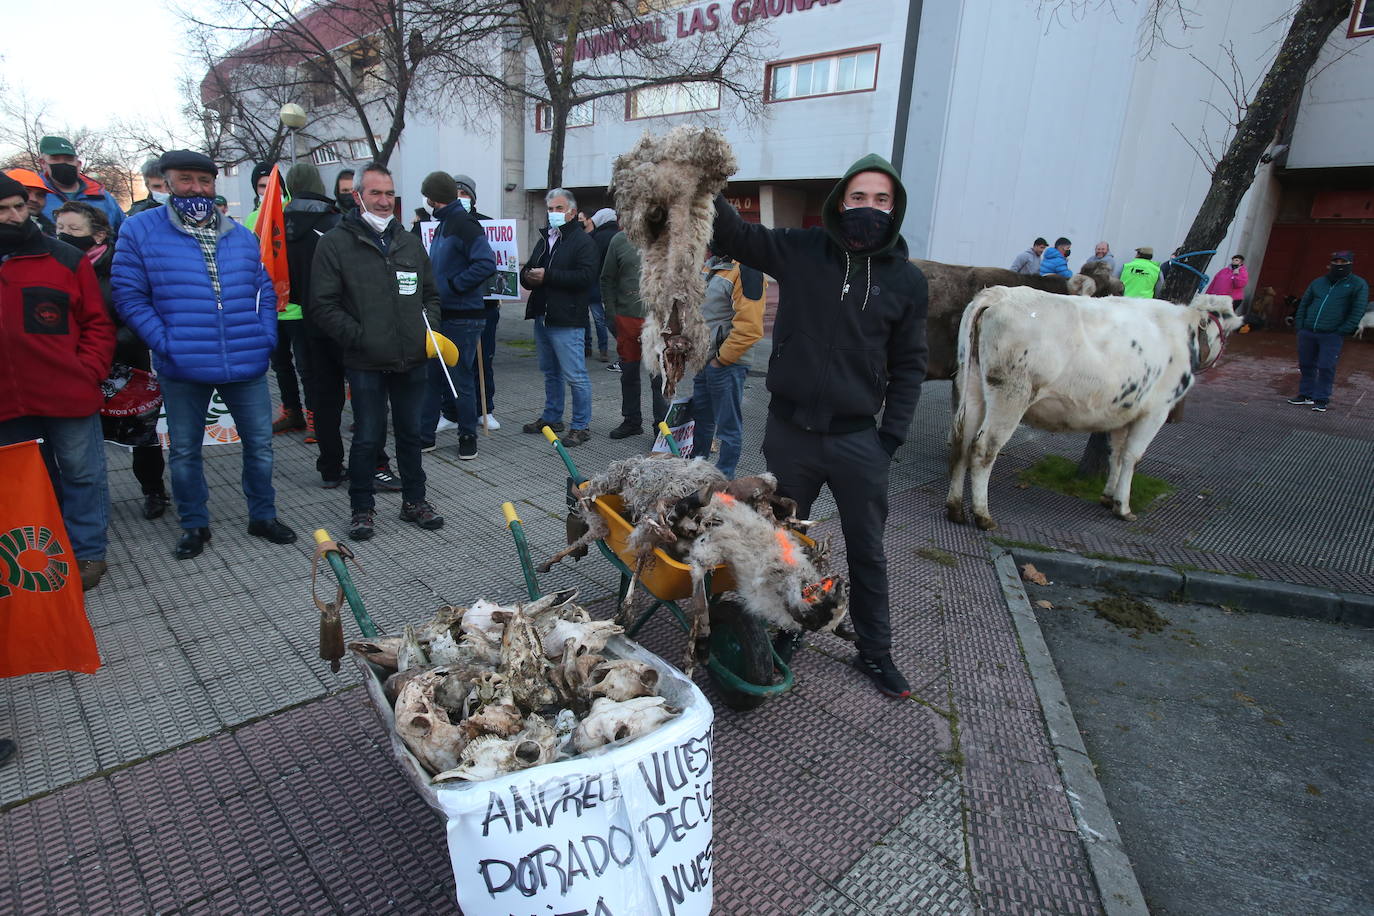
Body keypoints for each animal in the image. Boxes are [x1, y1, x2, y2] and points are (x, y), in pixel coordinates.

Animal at [950, 287, 1242, 530]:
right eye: (1228, 324)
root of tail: (999, 294)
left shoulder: (1124, 412)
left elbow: (1116, 454)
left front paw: (1109, 496)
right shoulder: (1156, 410)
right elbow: (1133, 456)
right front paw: (1123, 507)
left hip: (973, 386)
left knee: (962, 441)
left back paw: (955, 508)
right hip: (1012, 394)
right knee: (984, 448)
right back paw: (982, 515)